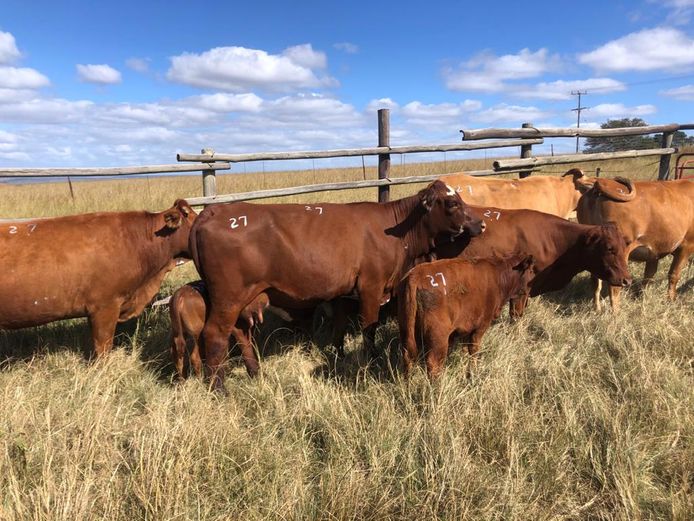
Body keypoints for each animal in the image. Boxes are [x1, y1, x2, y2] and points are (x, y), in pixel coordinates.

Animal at [188, 179, 486, 390]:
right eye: (452, 203)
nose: (481, 223)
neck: (396, 230)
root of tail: (213, 210)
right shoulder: (371, 287)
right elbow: (369, 327)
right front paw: (371, 360)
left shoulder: (343, 294)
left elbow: (340, 327)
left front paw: (340, 356)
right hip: (228, 298)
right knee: (215, 335)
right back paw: (219, 389)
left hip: (242, 299)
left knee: (239, 332)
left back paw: (255, 372)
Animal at [396, 253, 540, 378]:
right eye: (531, 273)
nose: (521, 312)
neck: (498, 275)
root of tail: (415, 275)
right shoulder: (481, 325)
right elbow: (473, 350)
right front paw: (472, 374)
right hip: (437, 335)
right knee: (434, 364)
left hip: (406, 330)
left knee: (407, 357)